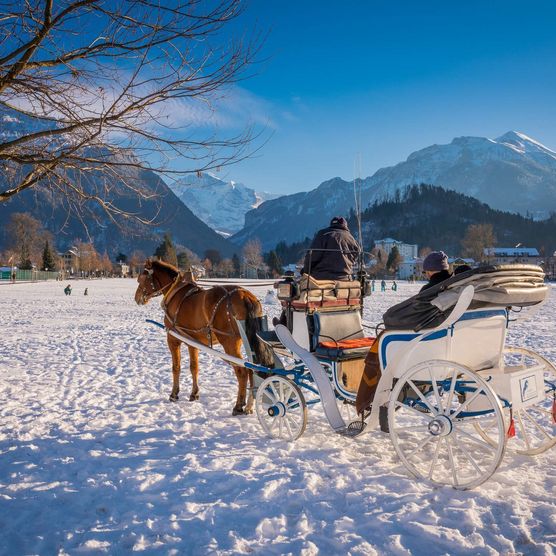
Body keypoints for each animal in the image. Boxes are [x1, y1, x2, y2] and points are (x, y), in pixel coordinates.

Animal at [135, 260, 274, 412]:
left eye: (141, 279)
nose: (137, 298)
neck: (175, 292)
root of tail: (246, 296)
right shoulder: (192, 341)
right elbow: (194, 367)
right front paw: (194, 393)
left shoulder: (173, 339)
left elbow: (176, 367)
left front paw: (174, 394)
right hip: (247, 340)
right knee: (252, 368)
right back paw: (249, 405)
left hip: (229, 342)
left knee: (242, 370)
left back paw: (238, 405)